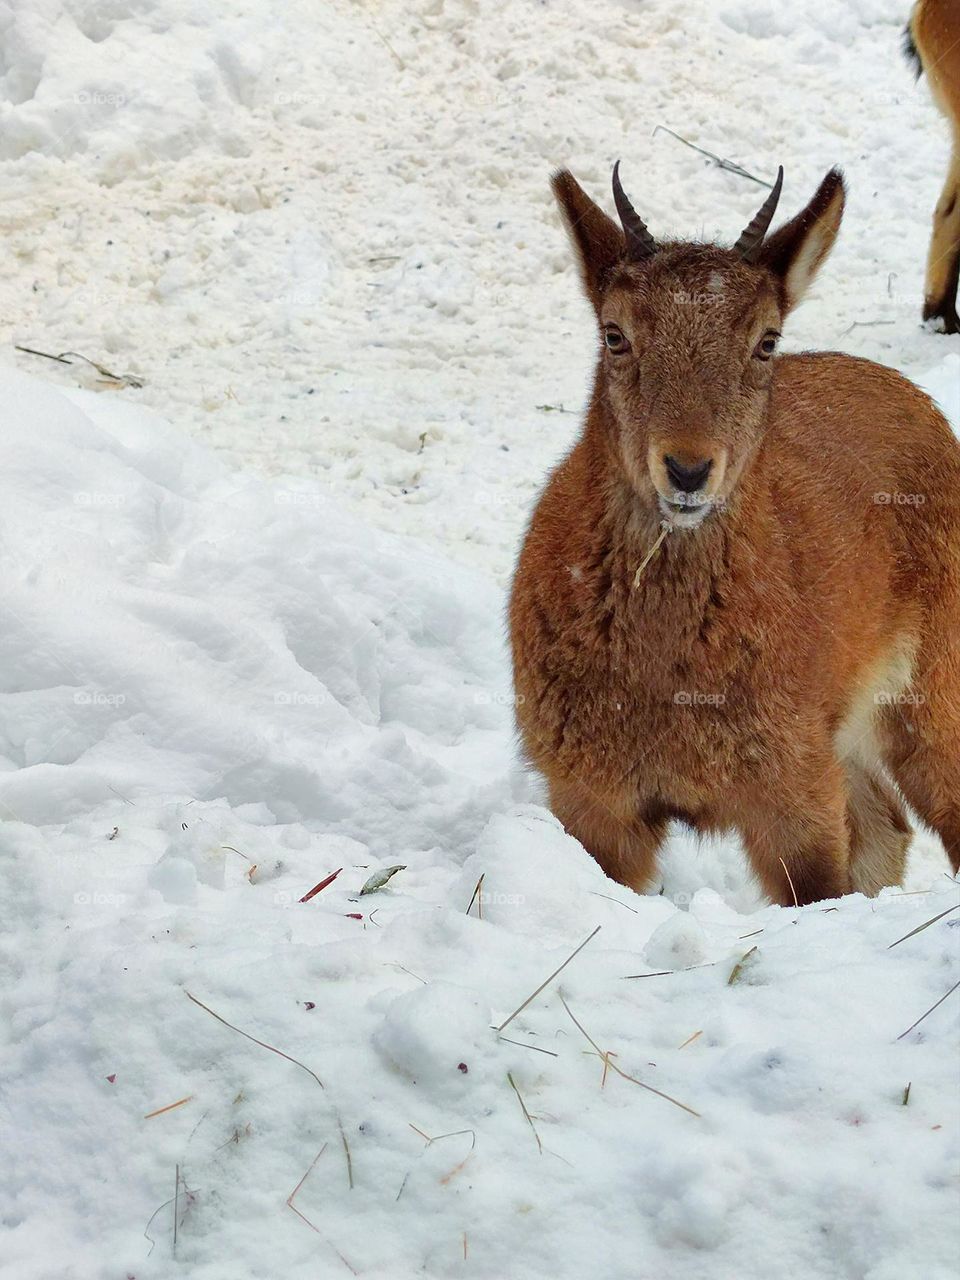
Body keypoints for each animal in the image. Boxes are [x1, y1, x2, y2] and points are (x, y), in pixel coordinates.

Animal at [509, 164, 960, 906]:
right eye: (615, 333)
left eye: (766, 339)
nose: (688, 469)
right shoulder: (592, 799)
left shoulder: (794, 791)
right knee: (888, 825)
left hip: (928, 693)